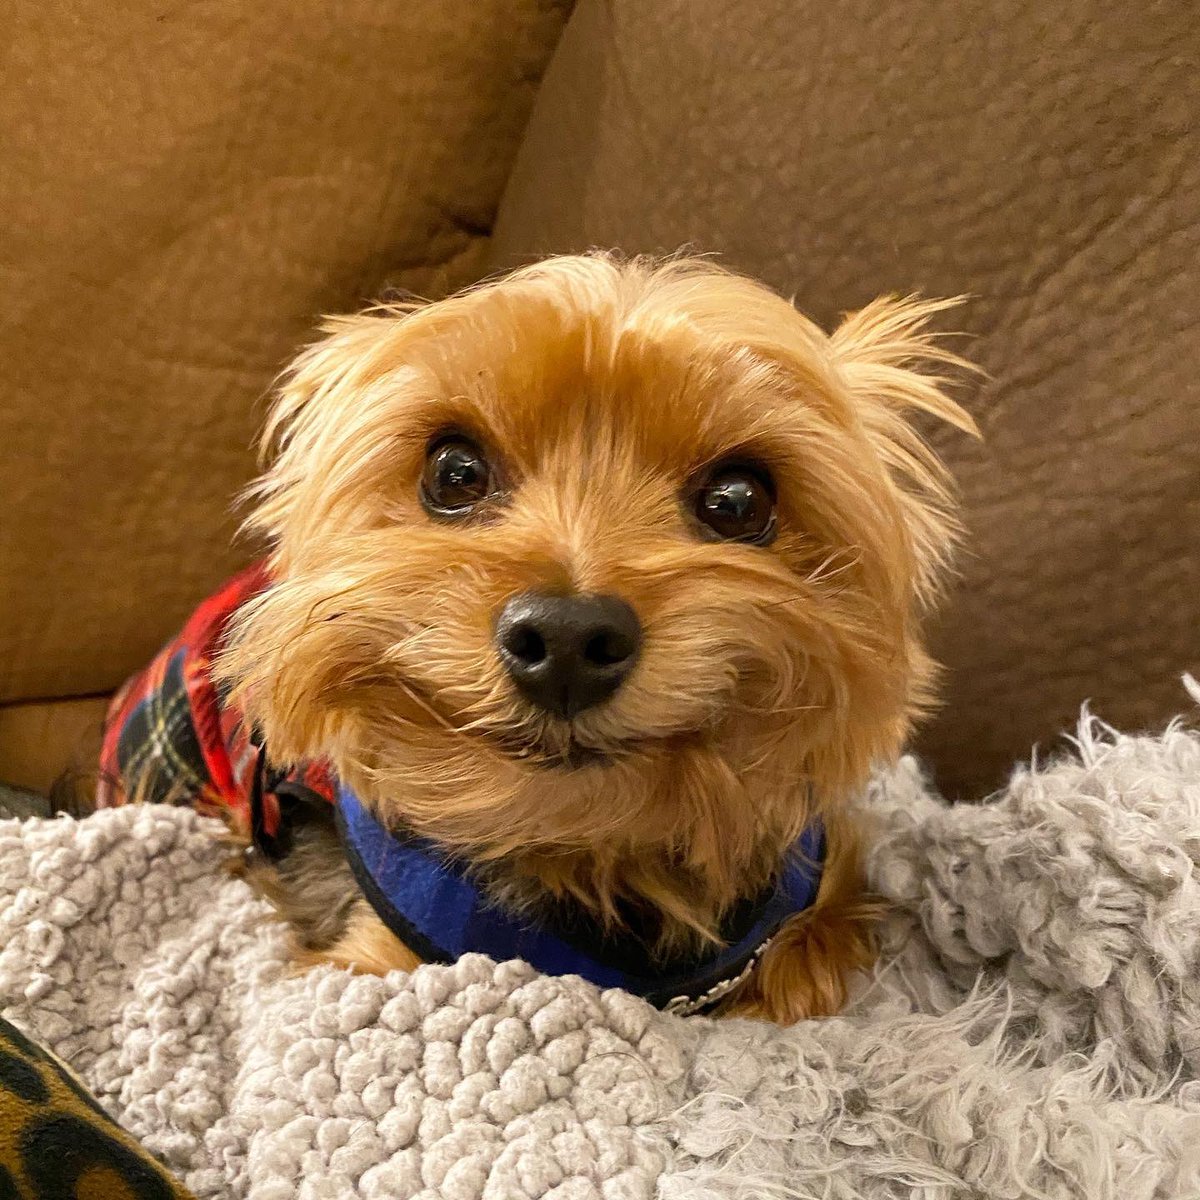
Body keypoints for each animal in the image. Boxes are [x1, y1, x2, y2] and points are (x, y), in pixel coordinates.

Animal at [91, 255, 974, 1022]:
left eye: (738, 500)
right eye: (453, 472)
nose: (566, 635)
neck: (584, 850)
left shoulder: (814, 894)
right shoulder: (373, 951)